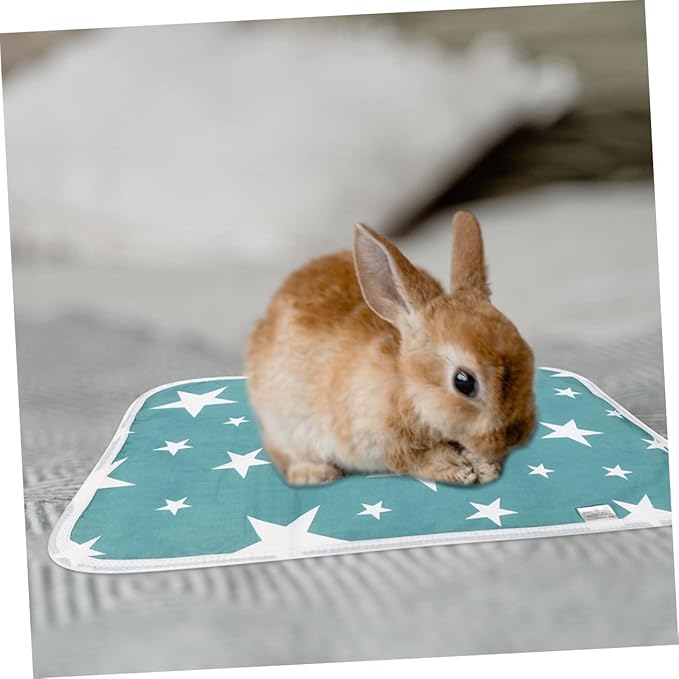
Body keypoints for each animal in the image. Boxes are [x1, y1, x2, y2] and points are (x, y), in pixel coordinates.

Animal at [245, 211, 536, 486]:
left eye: (529, 356)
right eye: (464, 382)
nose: (514, 439)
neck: (406, 384)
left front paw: (484, 468)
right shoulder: (382, 442)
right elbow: (415, 459)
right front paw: (458, 470)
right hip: (282, 426)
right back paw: (315, 474)